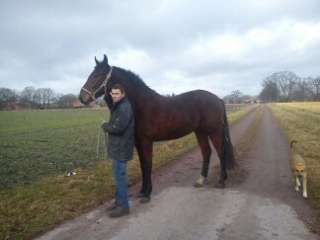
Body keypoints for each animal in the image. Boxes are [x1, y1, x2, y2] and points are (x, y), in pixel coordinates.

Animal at [80, 54, 235, 202]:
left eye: (98, 75)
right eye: (91, 73)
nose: (82, 97)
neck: (140, 105)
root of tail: (218, 99)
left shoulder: (146, 141)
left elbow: (148, 164)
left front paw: (147, 194)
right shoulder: (138, 142)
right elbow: (142, 165)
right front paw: (142, 191)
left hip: (214, 131)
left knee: (220, 152)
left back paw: (221, 181)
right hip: (200, 132)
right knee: (206, 152)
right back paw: (201, 180)